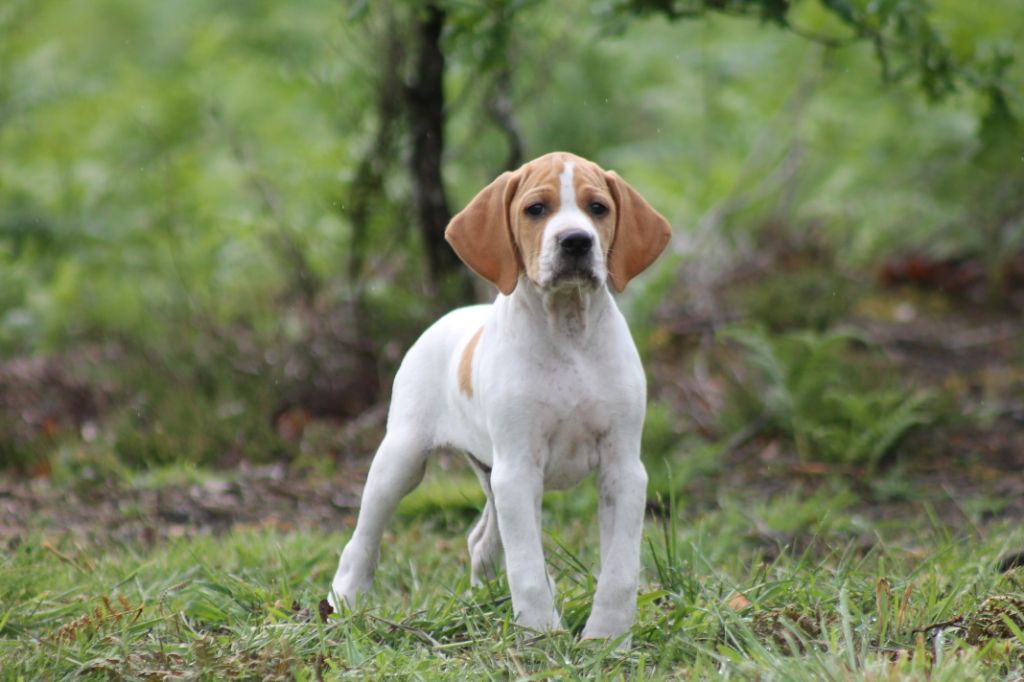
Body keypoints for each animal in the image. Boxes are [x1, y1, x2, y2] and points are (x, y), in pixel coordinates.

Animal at [327, 151, 675, 638]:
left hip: (493, 474)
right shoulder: (520, 466)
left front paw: (605, 638)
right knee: (364, 537)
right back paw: (344, 600)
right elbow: (526, 568)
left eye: (598, 208)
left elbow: (619, 571)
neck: (568, 332)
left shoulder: (622, 470)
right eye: (536, 209)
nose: (576, 242)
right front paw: (543, 637)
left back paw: (486, 596)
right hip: (404, 461)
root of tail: (448, 317)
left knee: (482, 539)